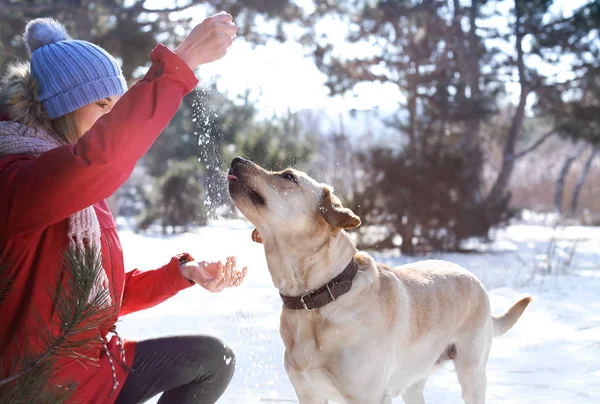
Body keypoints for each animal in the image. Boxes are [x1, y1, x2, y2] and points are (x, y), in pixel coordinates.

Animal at [227, 156, 532, 402]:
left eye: (288, 177)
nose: (235, 159)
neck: (317, 298)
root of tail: (473, 278)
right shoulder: (308, 393)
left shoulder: (367, 396)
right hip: (414, 381)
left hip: (472, 373)